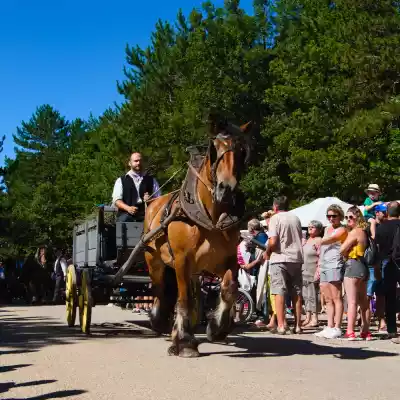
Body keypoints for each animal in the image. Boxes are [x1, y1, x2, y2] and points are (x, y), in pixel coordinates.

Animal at [143, 115, 250, 356]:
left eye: (242, 151)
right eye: (215, 148)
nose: (226, 189)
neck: (210, 219)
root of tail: (152, 204)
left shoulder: (227, 260)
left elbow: (229, 290)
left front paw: (217, 328)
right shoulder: (182, 260)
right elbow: (183, 300)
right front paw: (184, 343)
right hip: (154, 260)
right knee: (160, 290)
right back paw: (161, 322)